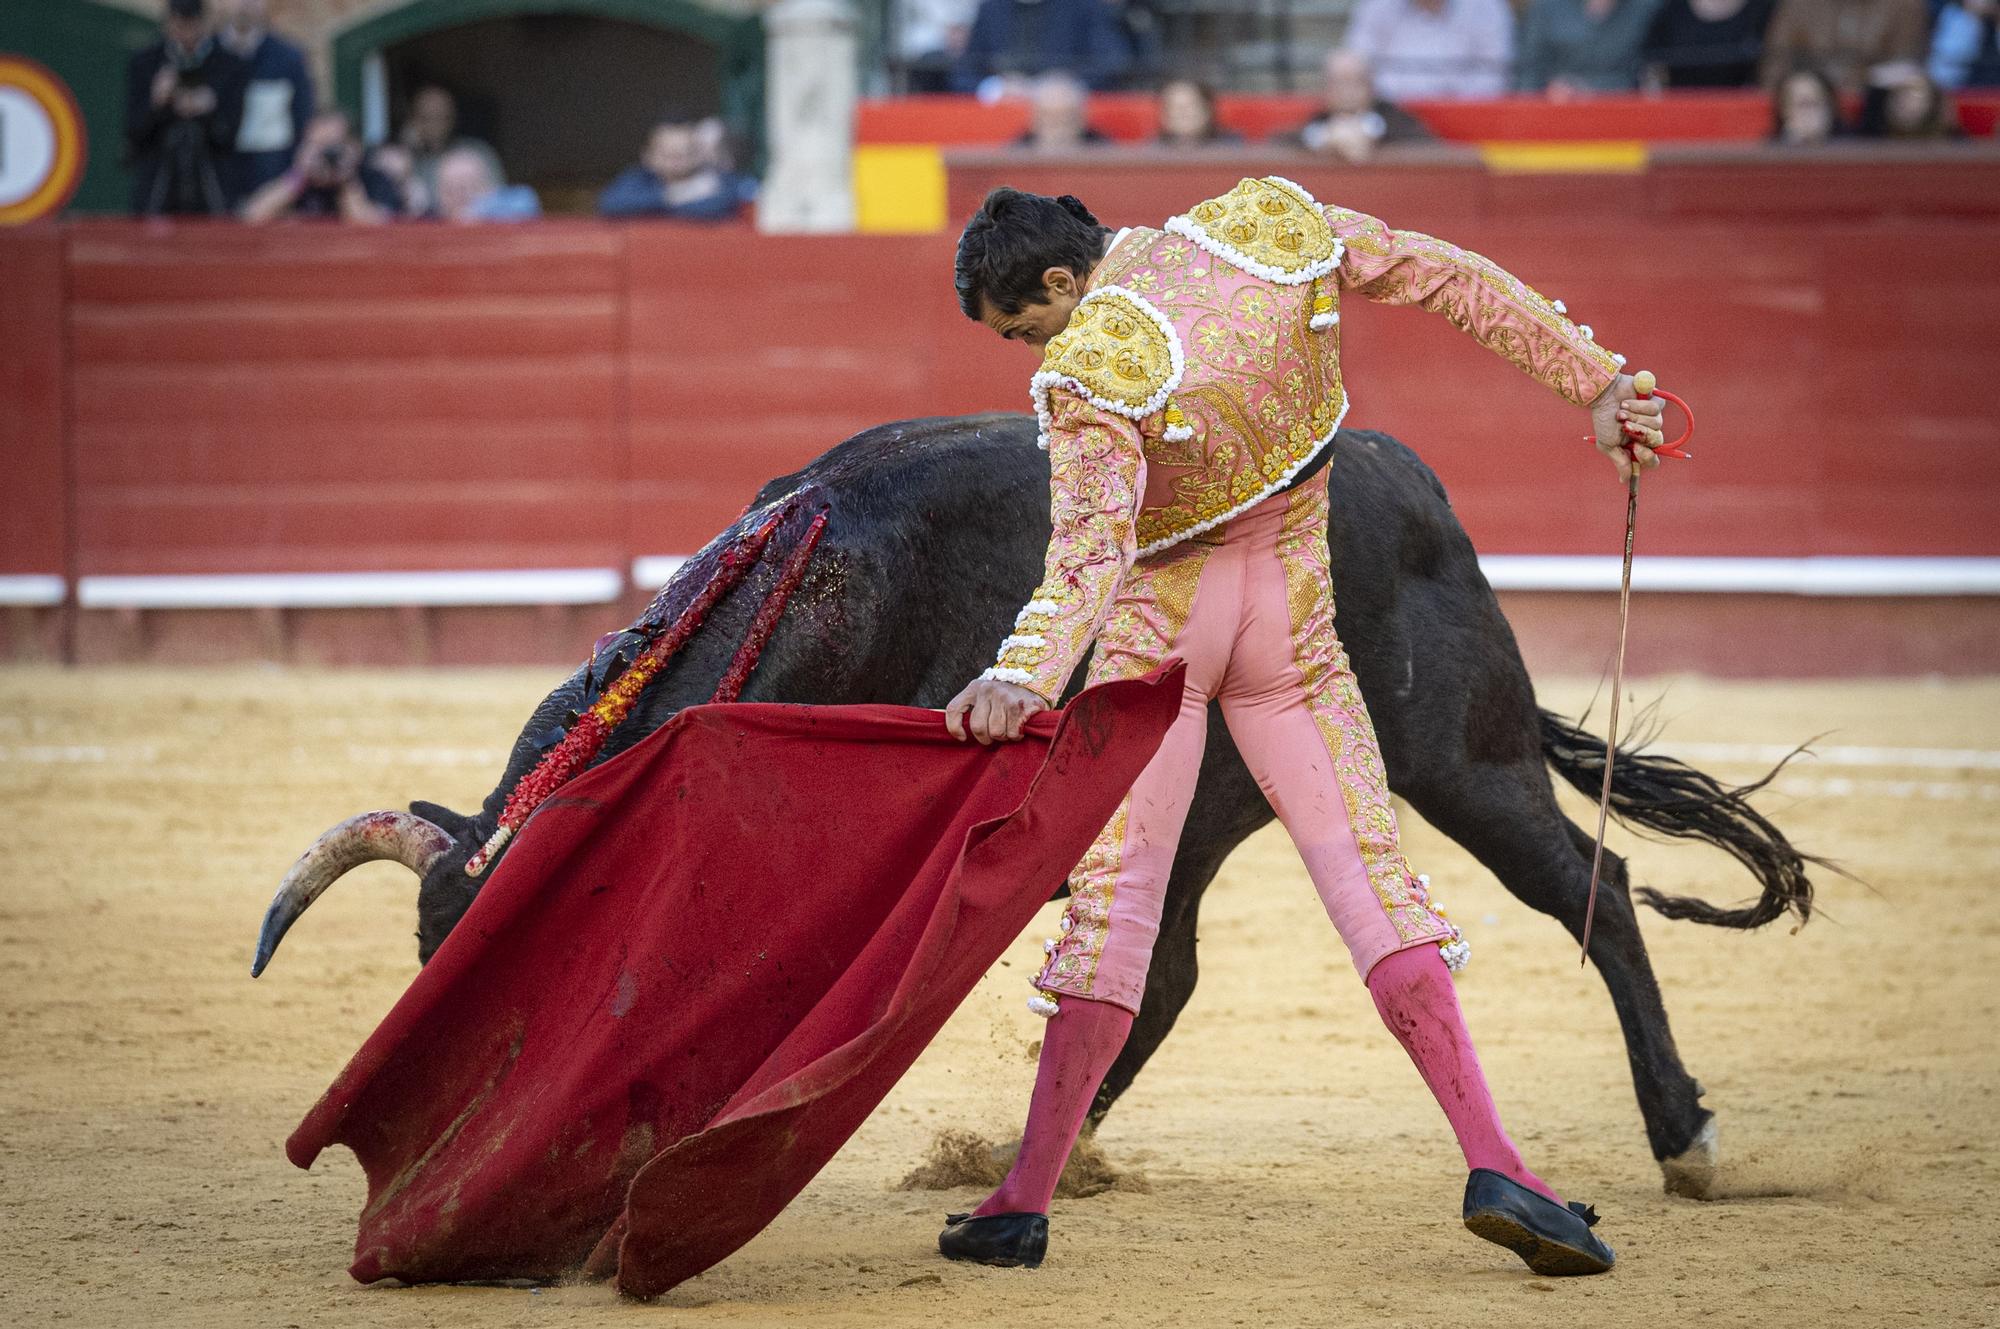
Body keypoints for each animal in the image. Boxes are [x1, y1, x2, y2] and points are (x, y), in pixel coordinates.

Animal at [262, 412, 1816, 1192]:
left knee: (1591, 892)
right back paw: (1037, 1156)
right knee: (1166, 970)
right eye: (433, 953)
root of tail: (1420, 491)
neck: (817, 586)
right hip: (1201, 808)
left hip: (1461, 758)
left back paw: (1685, 1139)